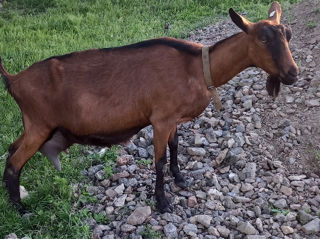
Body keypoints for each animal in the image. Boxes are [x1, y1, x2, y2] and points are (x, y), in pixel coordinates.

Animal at [1, 0, 298, 212]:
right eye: (262, 39)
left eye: (288, 35)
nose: (293, 73)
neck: (198, 68)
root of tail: (14, 80)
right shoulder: (161, 119)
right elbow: (159, 159)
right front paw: (163, 202)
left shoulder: (173, 118)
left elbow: (175, 146)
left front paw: (180, 179)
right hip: (39, 125)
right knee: (15, 161)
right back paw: (21, 210)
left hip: (33, 126)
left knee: (11, 150)